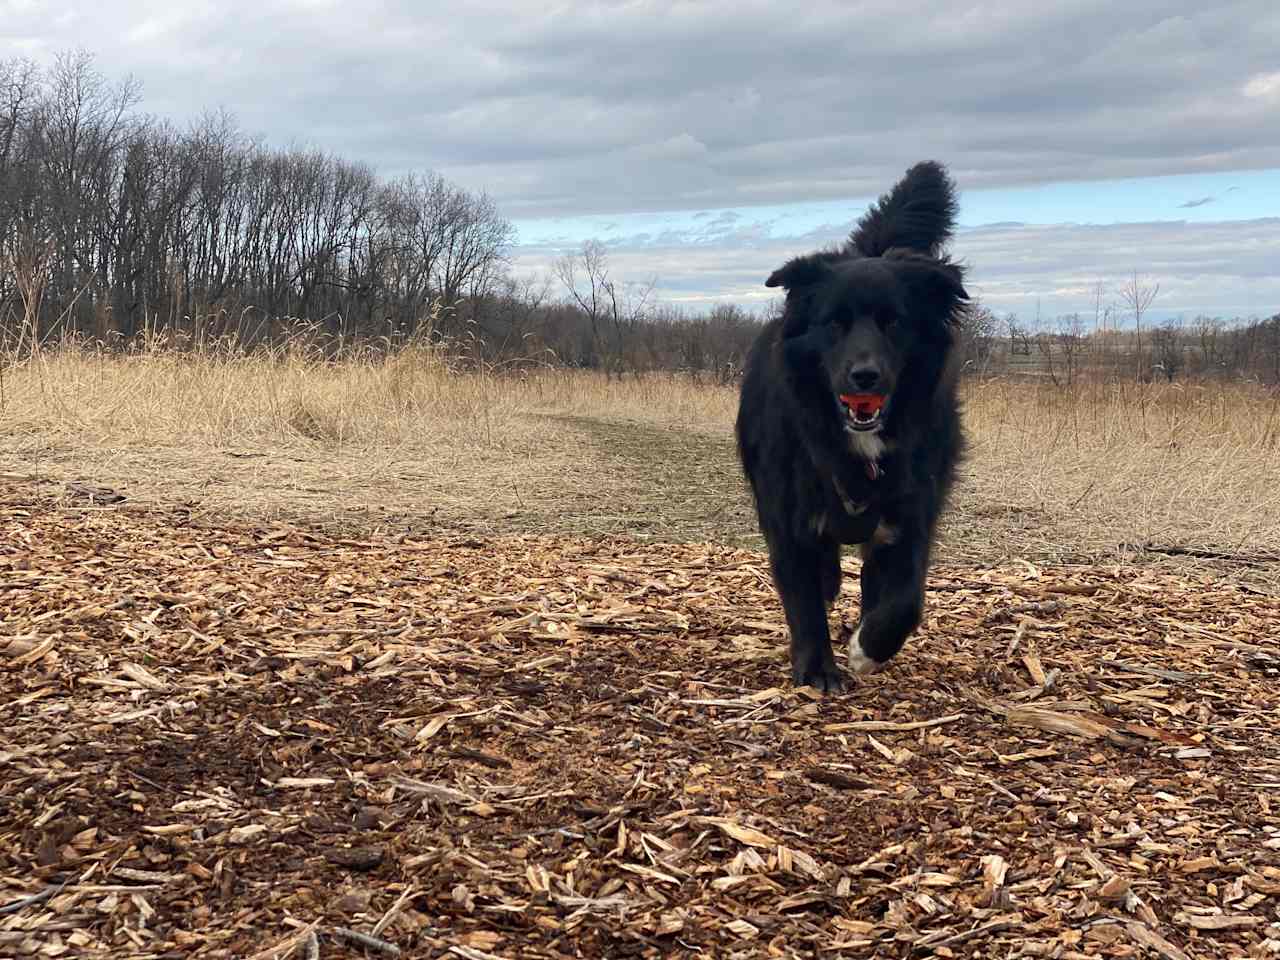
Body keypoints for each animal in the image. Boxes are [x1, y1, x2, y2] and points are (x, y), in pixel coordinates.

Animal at [737, 161, 962, 696]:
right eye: (834, 323)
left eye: (894, 322)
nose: (865, 376)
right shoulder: (786, 516)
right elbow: (802, 598)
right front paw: (818, 668)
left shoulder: (911, 510)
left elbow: (906, 599)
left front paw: (868, 648)